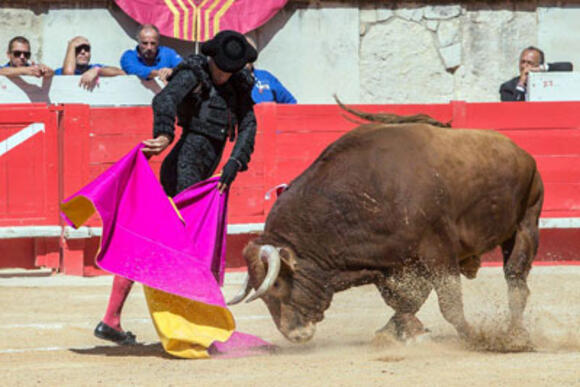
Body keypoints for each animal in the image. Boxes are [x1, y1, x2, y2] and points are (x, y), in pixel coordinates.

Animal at [229, 106, 540, 346]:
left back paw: (517, 336)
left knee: (516, 282)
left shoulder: (438, 253)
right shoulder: (393, 265)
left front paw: (474, 337)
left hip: (527, 222)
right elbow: (405, 300)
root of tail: (522, 153)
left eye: (277, 283)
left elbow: (448, 303)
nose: (294, 334)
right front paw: (401, 333)